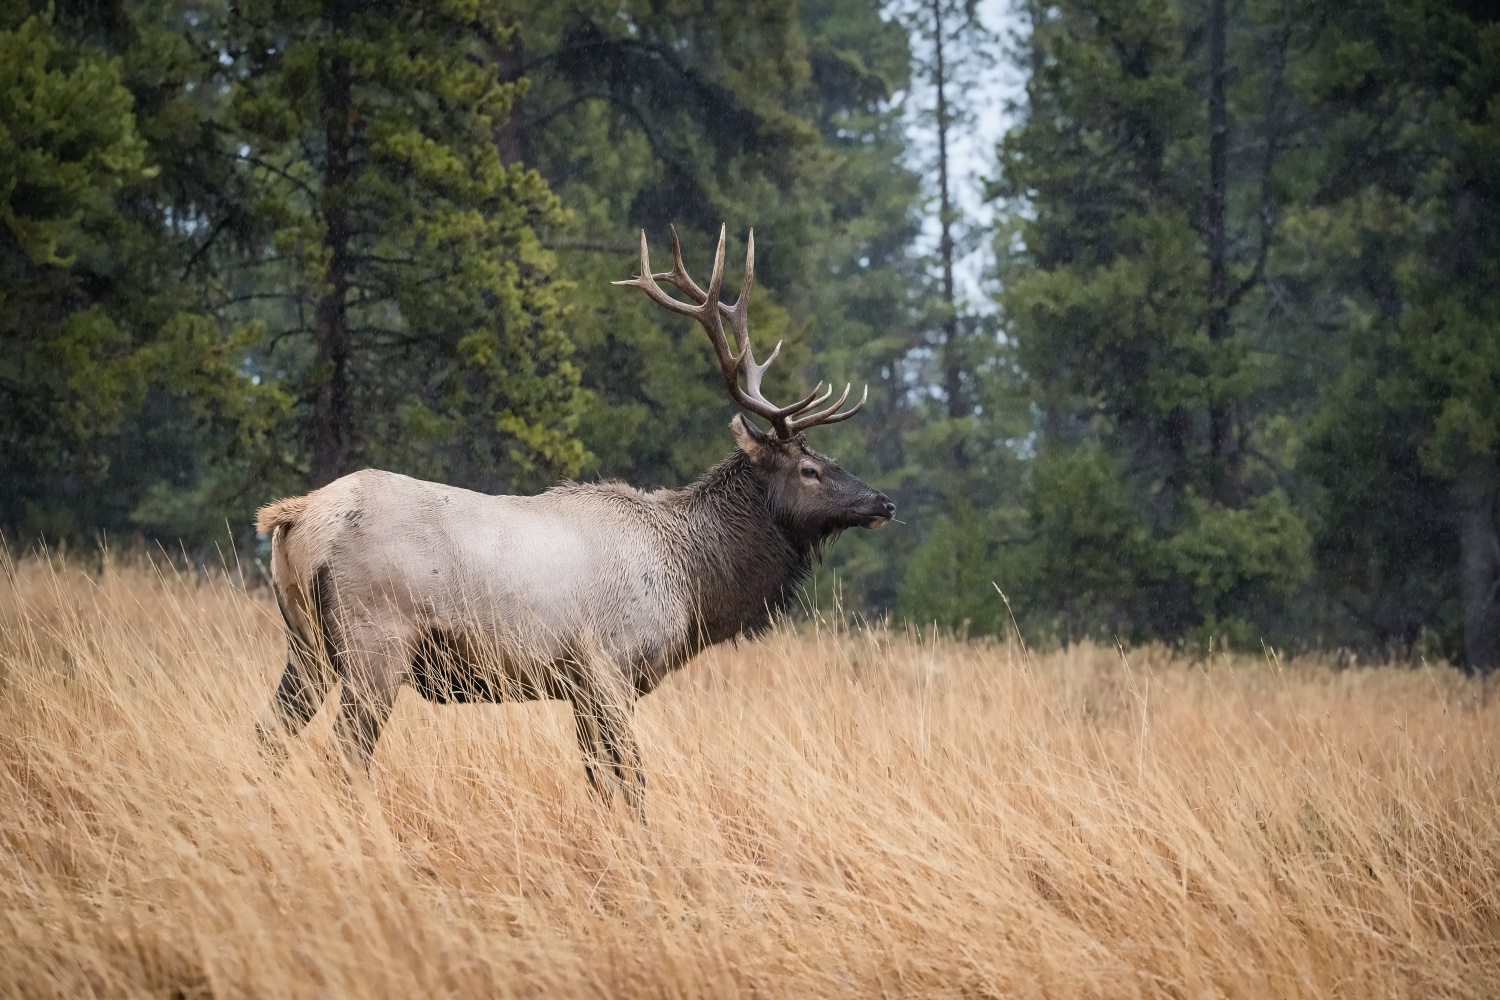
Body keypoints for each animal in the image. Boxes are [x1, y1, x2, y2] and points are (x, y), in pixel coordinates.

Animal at [252, 224, 894, 815]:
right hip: (375, 642)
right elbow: (631, 783)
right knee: (344, 752)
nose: (884, 502)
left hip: (305, 643)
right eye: (810, 469)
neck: (693, 582)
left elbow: (598, 783)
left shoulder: (581, 689)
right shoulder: (609, 668)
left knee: (269, 736)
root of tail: (296, 518)